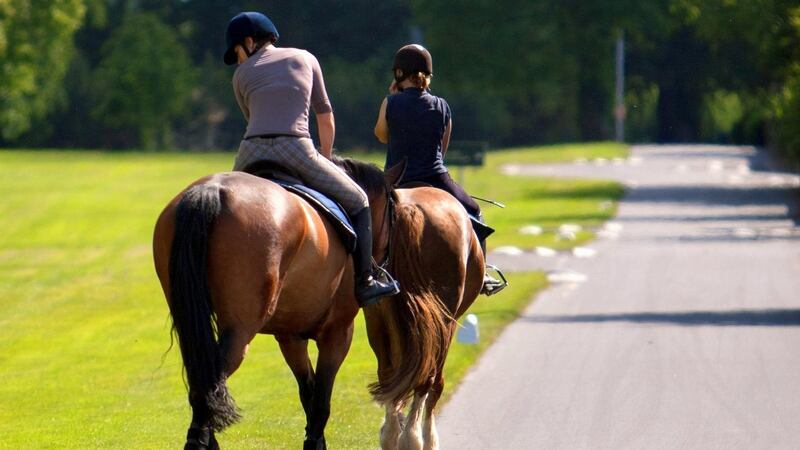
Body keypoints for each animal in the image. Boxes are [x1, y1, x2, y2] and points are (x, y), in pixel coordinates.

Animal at [152, 158, 406, 450]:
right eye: (393, 210)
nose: (385, 262)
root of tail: (213, 190)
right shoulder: (338, 333)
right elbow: (321, 398)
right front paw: (315, 442)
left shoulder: (290, 337)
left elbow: (308, 392)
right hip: (240, 329)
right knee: (212, 377)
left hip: (191, 323)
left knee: (201, 378)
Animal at [340, 162, 485, 450]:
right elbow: (431, 380)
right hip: (442, 319)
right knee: (427, 379)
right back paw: (415, 437)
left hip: (380, 317)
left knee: (392, 375)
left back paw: (394, 434)